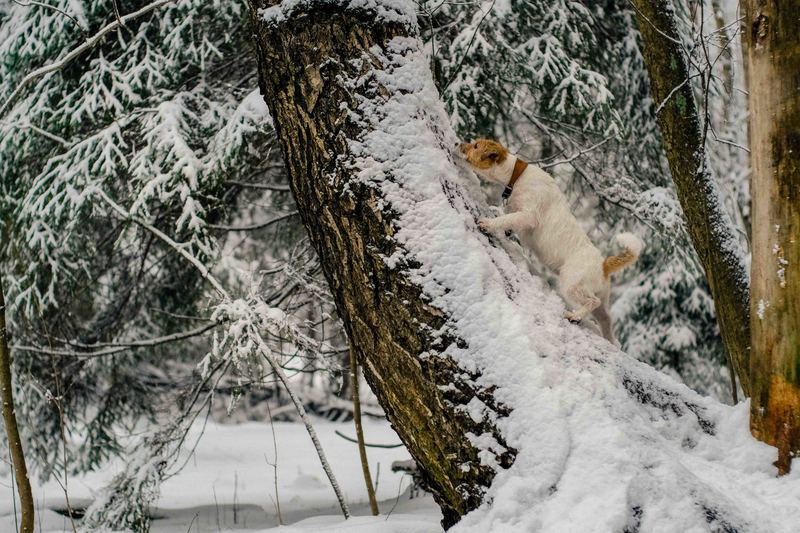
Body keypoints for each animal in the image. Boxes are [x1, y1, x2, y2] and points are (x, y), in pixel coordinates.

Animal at [456, 139, 644, 342]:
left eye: (476, 146)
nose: (459, 144)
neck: (517, 175)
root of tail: (604, 265)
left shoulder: (528, 216)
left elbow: (506, 219)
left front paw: (488, 223)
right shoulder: (517, 212)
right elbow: (508, 219)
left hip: (571, 285)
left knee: (592, 302)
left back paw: (575, 316)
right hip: (601, 300)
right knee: (606, 319)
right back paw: (611, 340)